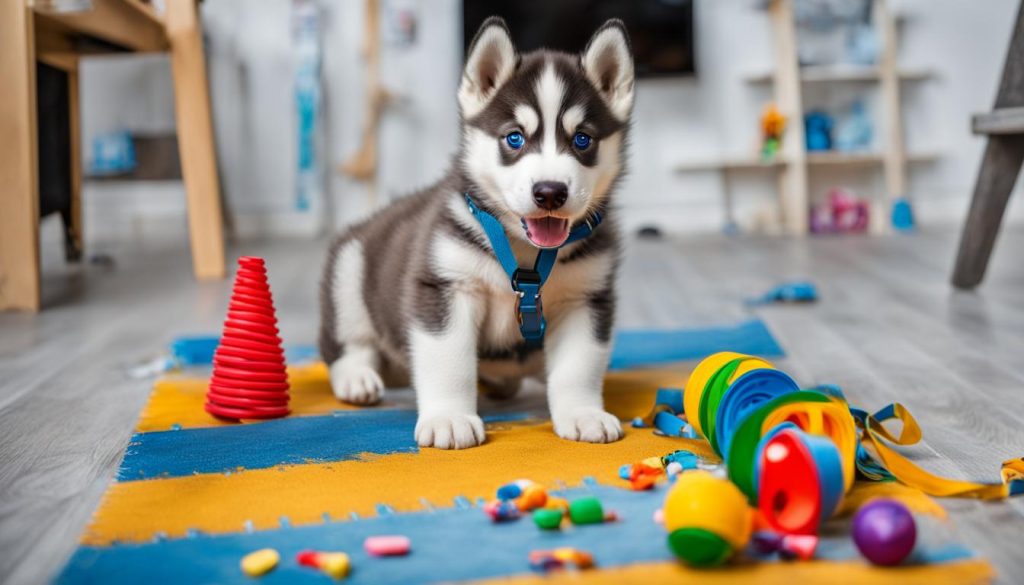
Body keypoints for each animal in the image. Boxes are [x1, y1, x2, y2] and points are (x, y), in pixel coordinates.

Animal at [319, 17, 634, 448]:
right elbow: (449, 360)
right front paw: (449, 418)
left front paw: (583, 413)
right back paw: (357, 377)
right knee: (348, 344)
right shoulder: (444, 287)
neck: (523, 254)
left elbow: (578, 367)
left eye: (582, 139)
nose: (550, 192)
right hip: (350, 272)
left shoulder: (585, 298)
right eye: (514, 138)